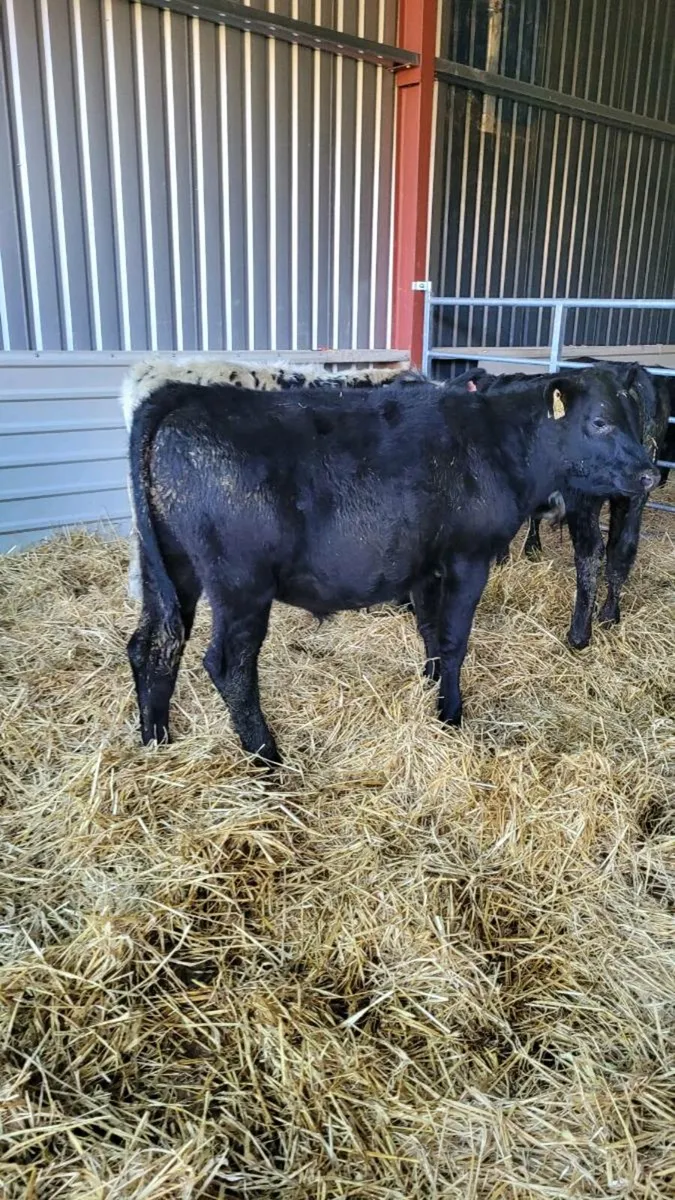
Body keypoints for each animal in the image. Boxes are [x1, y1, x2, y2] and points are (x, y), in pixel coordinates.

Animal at [476, 361, 671, 648]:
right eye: (601, 422)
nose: (651, 476)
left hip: (584, 498)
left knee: (590, 552)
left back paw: (579, 633)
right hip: (632, 498)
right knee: (621, 549)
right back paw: (609, 614)